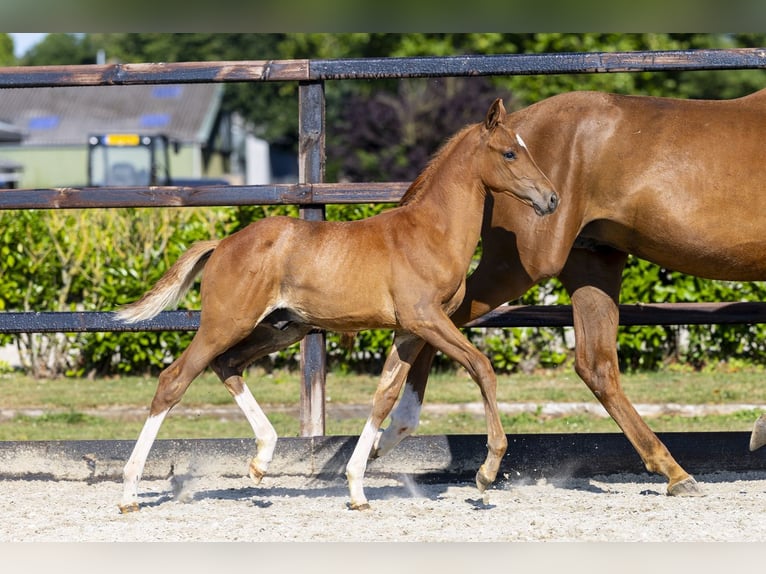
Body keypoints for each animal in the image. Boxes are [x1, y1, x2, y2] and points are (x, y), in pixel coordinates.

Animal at [113, 98, 559, 513]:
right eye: (510, 153)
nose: (552, 198)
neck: (430, 232)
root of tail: (222, 244)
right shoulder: (425, 319)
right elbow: (481, 367)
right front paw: (487, 471)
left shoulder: (409, 331)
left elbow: (384, 397)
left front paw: (358, 486)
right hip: (225, 324)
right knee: (174, 380)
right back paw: (130, 491)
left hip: (282, 329)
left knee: (228, 365)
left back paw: (261, 460)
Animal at [370, 87, 766, 498]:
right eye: (510, 154)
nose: (550, 197)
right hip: (519, 267)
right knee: (432, 321)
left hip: (592, 264)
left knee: (596, 365)